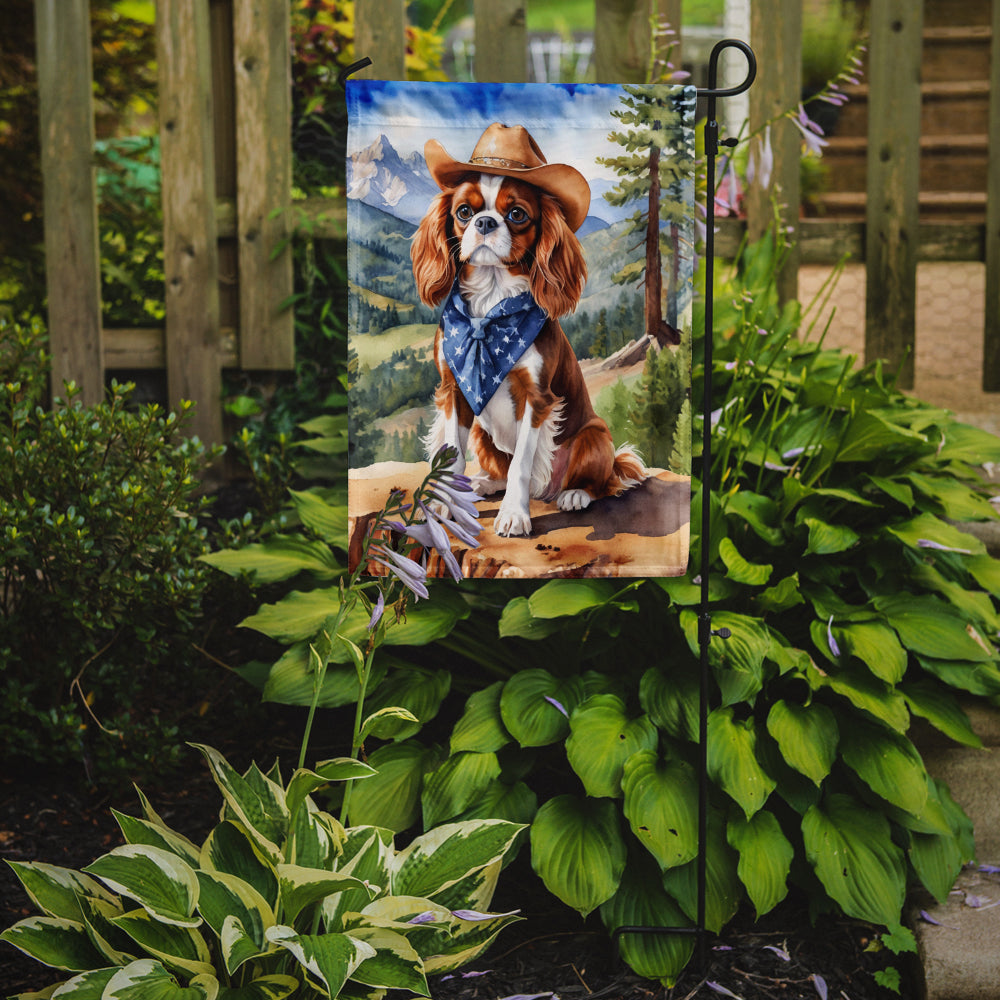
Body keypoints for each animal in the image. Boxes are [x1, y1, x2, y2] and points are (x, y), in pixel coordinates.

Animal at [410, 125, 644, 540]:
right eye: (464, 212)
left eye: (517, 214)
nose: (485, 223)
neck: (491, 304)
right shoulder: (455, 389)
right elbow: (452, 457)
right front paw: (443, 507)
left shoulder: (536, 398)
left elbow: (521, 462)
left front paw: (514, 516)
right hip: (482, 434)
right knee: (499, 469)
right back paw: (485, 482)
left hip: (595, 435)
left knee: (601, 482)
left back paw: (574, 494)